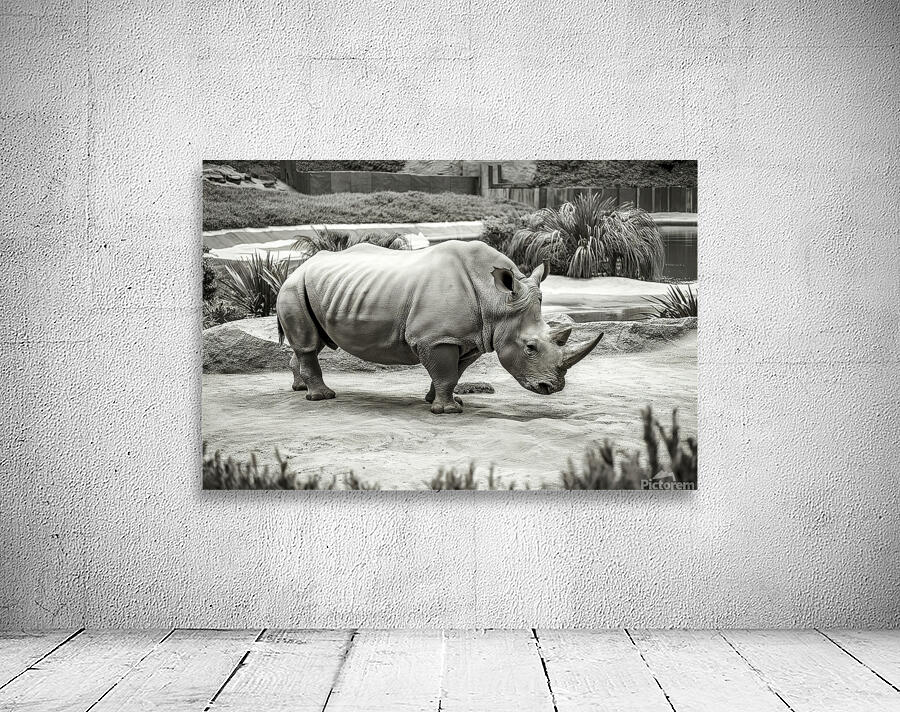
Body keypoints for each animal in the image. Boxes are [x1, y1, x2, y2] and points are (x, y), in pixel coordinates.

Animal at [276, 240, 602, 414]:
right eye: (530, 348)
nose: (553, 388)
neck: (497, 301)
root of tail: (298, 267)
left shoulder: (471, 337)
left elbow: (454, 372)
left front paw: (443, 400)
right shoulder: (436, 337)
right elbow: (445, 372)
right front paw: (448, 411)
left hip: (316, 287)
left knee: (311, 343)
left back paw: (299, 388)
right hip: (293, 287)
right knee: (308, 344)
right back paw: (322, 397)